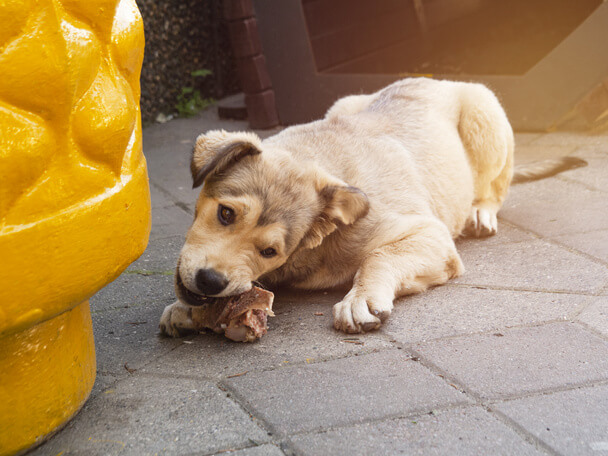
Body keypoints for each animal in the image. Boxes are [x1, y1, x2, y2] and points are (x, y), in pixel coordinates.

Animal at [159, 77, 588, 334]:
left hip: (486, 114)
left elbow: (379, 255)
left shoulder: (429, 234)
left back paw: (480, 210)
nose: (210, 282)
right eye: (225, 213)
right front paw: (194, 311)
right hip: (343, 103)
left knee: (495, 186)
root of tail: (431, 77)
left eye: (269, 251)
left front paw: (361, 298)